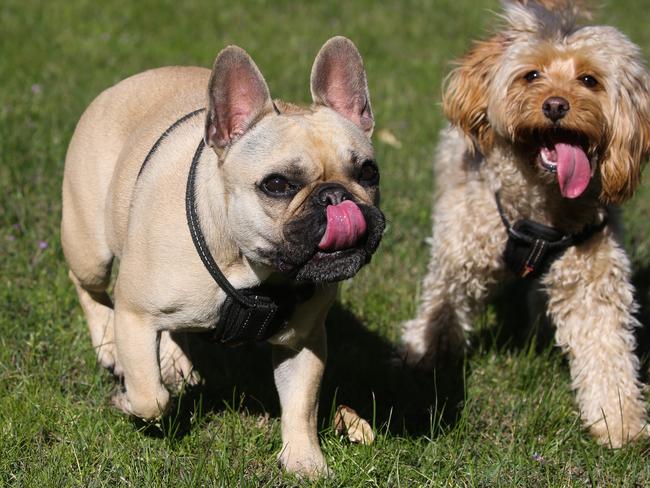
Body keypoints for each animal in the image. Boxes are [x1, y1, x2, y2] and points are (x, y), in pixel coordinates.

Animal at [400, 0, 648, 448]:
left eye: (589, 80)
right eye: (531, 74)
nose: (555, 105)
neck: (539, 209)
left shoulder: (593, 278)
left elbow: (607, 349)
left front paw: (620, 421)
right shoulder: (463, 246)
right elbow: (443, 301)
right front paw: (425, 352)